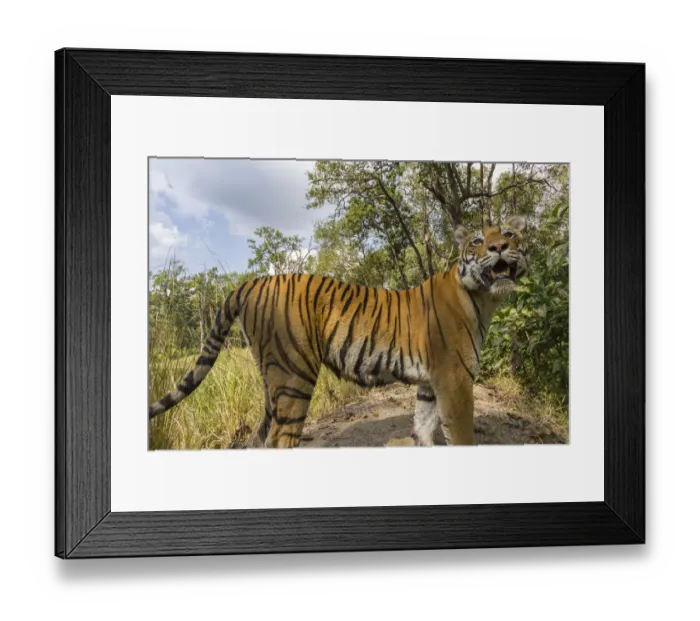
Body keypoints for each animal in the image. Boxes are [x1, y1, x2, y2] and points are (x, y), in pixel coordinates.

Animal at [148, 215, 528, 448]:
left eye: (509, 234)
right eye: (478, 240)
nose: (498, 247)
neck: (485, 298)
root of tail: (251, 282)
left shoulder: (430, 384)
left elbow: (423, 427)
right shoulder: (455, 380)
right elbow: (461, 435)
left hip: (270, 378)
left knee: (259, 437)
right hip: (294, 375)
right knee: (279, 439)